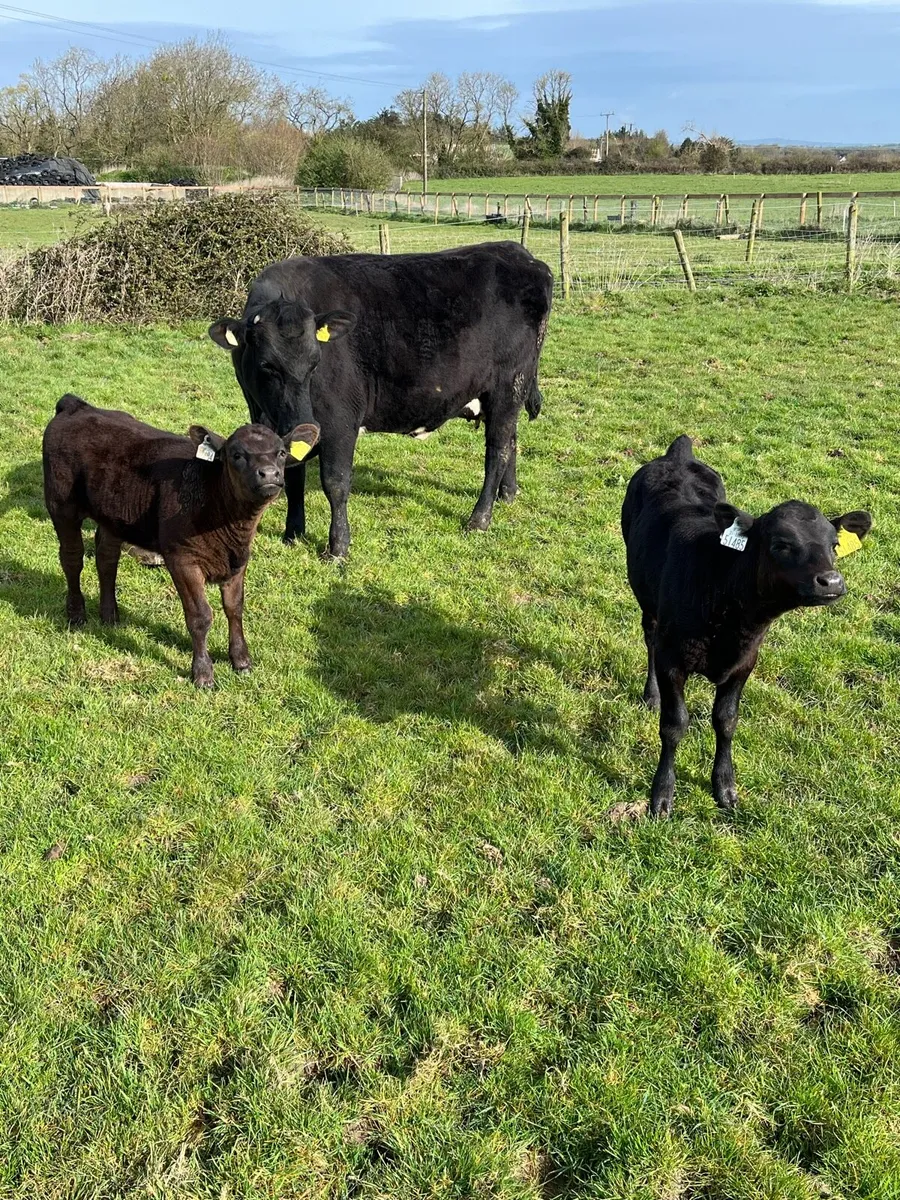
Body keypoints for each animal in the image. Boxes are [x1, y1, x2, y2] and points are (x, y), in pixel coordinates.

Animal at [43, 394, 318, 687]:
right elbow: (200, 616)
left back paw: (110, 616)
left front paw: (241, 660)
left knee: (107, 559)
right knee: (72, 557)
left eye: (281, 453)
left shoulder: (239, 559)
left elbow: (234, 608)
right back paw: (76, 615)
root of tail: (77, 406)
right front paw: (203, 673)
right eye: (237, 455)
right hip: (61, 505)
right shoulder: (182, 559)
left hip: (113, 515)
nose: (269, 473)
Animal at [208, 241, 554, 559]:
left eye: (316, 362)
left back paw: (479, 519)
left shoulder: (340, 422)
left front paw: (337, 548)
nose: (303, 424)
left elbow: (335, 482)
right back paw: (507, 494)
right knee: (511, 440)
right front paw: (292, 533)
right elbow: (293, 477)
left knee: (497, 450)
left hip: (508, 386)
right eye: (267, 365)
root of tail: (519, 254)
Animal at [621, 435, 871, 817]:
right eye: (781, 544)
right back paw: (650, 694)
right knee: (647, 635)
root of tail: (678, 453)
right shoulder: (671, 658)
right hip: (646, 599)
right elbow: (674, 724)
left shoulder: (745, 661)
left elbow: (726, 720)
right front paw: (662, 795)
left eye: (834, 545)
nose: (831, 581)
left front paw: (725, 786)